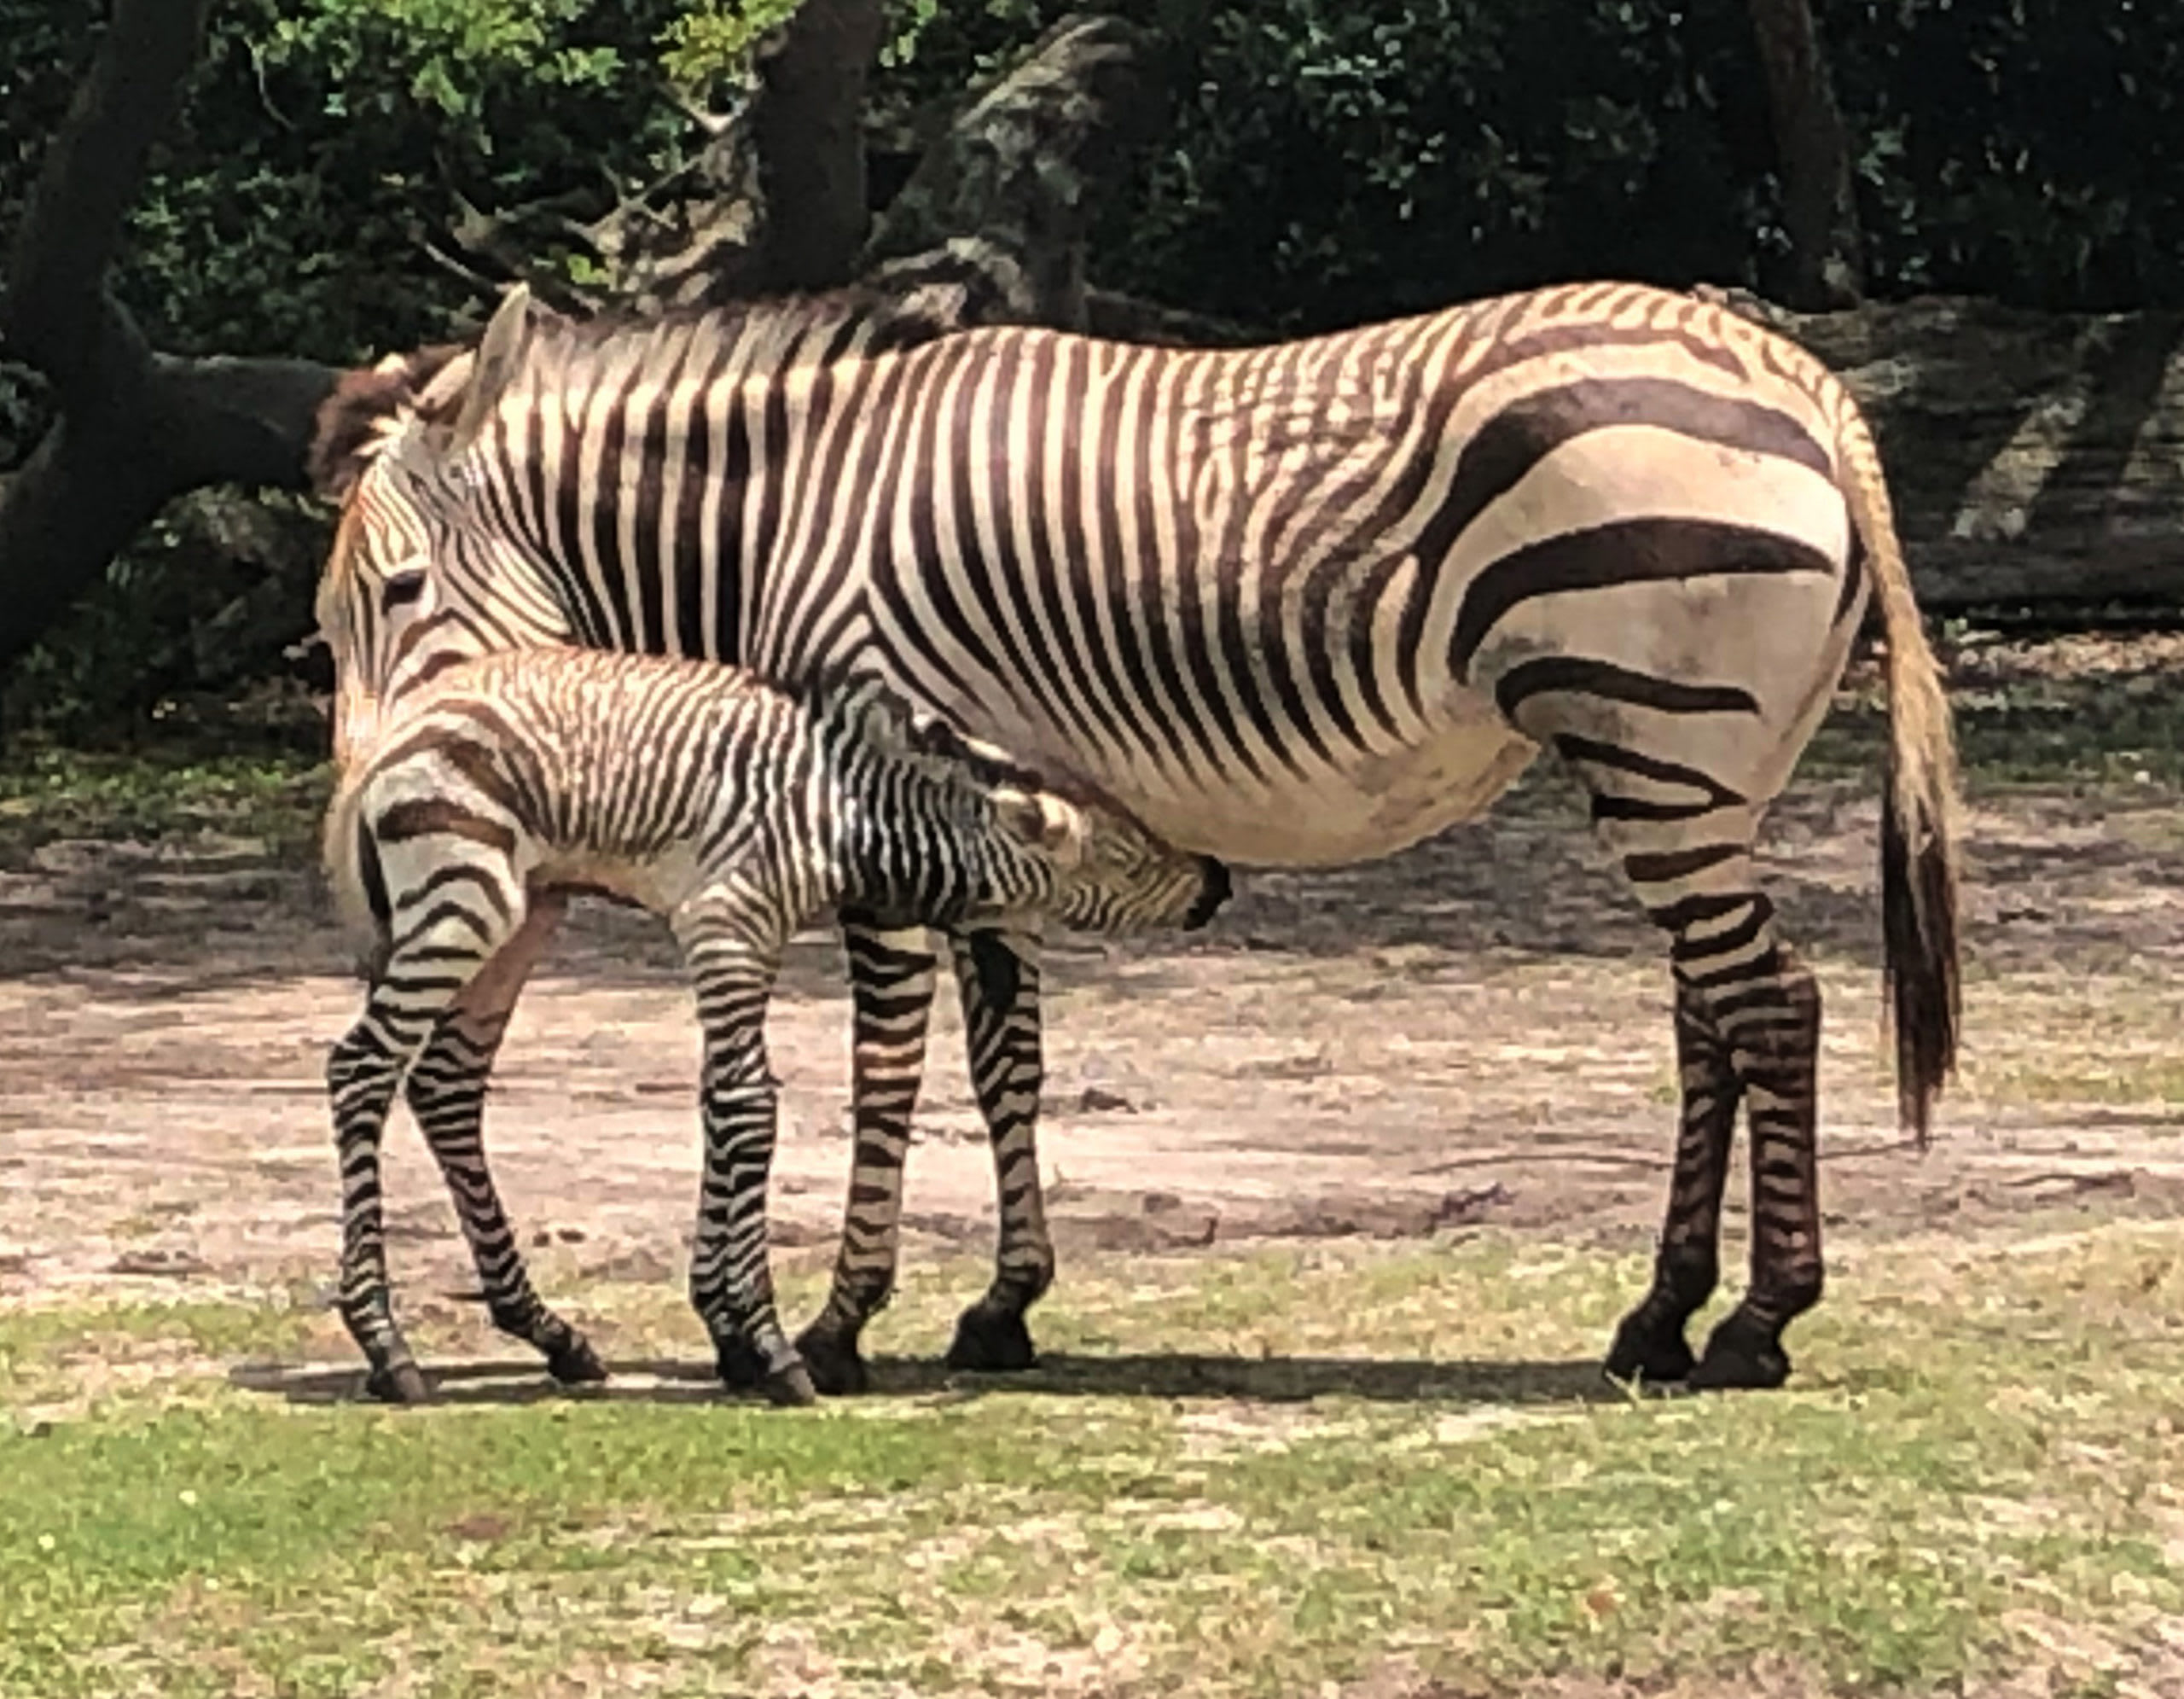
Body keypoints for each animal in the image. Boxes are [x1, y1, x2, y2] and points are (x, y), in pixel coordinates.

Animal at [314, 516, 1229, 1405]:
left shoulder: (753, 937)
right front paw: (771, 1346)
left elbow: (728, 1104)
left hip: (518, 915)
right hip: (463, 897)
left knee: (442, 1079)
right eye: (1129, 859)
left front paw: (733, 1328)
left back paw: (551, 1336)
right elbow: (750, 1108)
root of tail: (388, 744)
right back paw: (388, 1348)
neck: (841, 816)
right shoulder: (726, 920)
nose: (1216, 881)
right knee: (363, 1066)